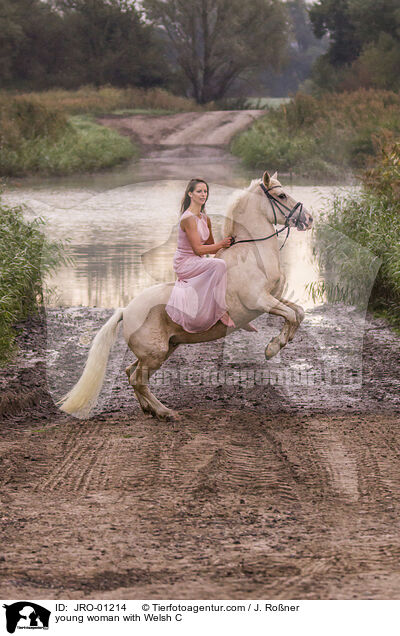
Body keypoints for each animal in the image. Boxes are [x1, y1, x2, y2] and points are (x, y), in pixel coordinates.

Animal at [58, 173, 312, 422]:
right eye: (282, 195)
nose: (308, 219)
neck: (250, 254)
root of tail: (125, 311)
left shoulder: (274, 298)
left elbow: (298, 312)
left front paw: (282, 341)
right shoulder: (260, 301)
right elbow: (291, 315)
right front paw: (272, 348)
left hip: (164, 349)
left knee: (132, 374)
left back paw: (149, 410)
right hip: (155, 353)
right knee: (138, 379)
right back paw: (165, 412)